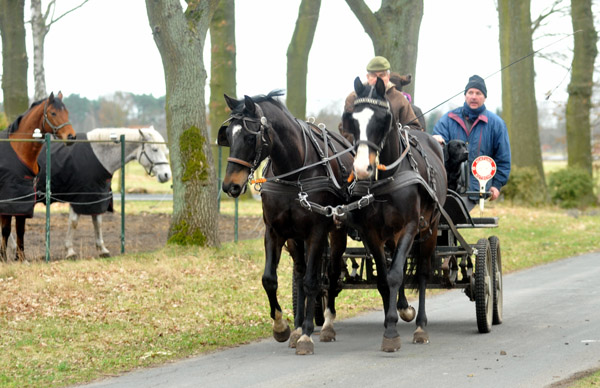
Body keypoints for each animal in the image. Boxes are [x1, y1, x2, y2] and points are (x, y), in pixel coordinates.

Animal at [0, 91, 76, 260]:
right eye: (53, 113)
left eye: (67, 112)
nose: (71, 137)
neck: (20, 150)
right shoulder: (8, 201)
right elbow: (6, 230)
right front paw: (3, 258)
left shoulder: (23, 201)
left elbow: (20, 229)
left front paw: (21, 258)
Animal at [218, 91, 354, 354]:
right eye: (227, 135)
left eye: (250, 137)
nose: (230, 186)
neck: (294, 173)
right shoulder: (275, 232)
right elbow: (270, 279)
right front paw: (283, 327)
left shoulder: (317, 232)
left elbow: (313, 282)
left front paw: (307, 336)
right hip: (296, 239)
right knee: (300, 273)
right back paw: (300, 326)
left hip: (336, 231)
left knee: (330, 273)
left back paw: (326, 324)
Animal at [340, 77, 448, 354]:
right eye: (352, 120)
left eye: (383, 119)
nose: (362, 169)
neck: (388, 178)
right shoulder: (372, 233)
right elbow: (384, 278)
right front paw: (390, 322)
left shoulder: (410, 226)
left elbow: (397, 274)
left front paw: (392, 330)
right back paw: (401, 306)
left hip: (430, 228)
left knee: (422, 272)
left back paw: (420, 325)